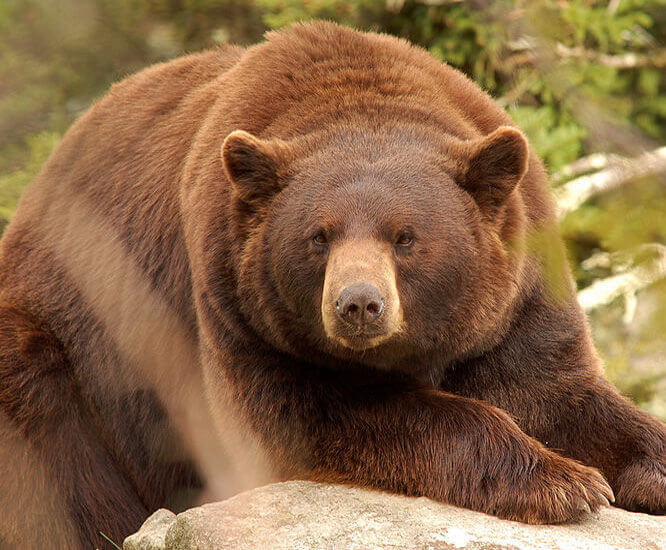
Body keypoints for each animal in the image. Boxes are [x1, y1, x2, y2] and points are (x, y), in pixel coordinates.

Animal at [0, 20, 665, 549]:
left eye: (405, 236)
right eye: (319, 236)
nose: (359, 304)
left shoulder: (516, 298)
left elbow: (557, 392)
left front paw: (634, 468)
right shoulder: (232, 305)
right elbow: (317, 418)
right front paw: (564, 481)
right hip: (71, 346)